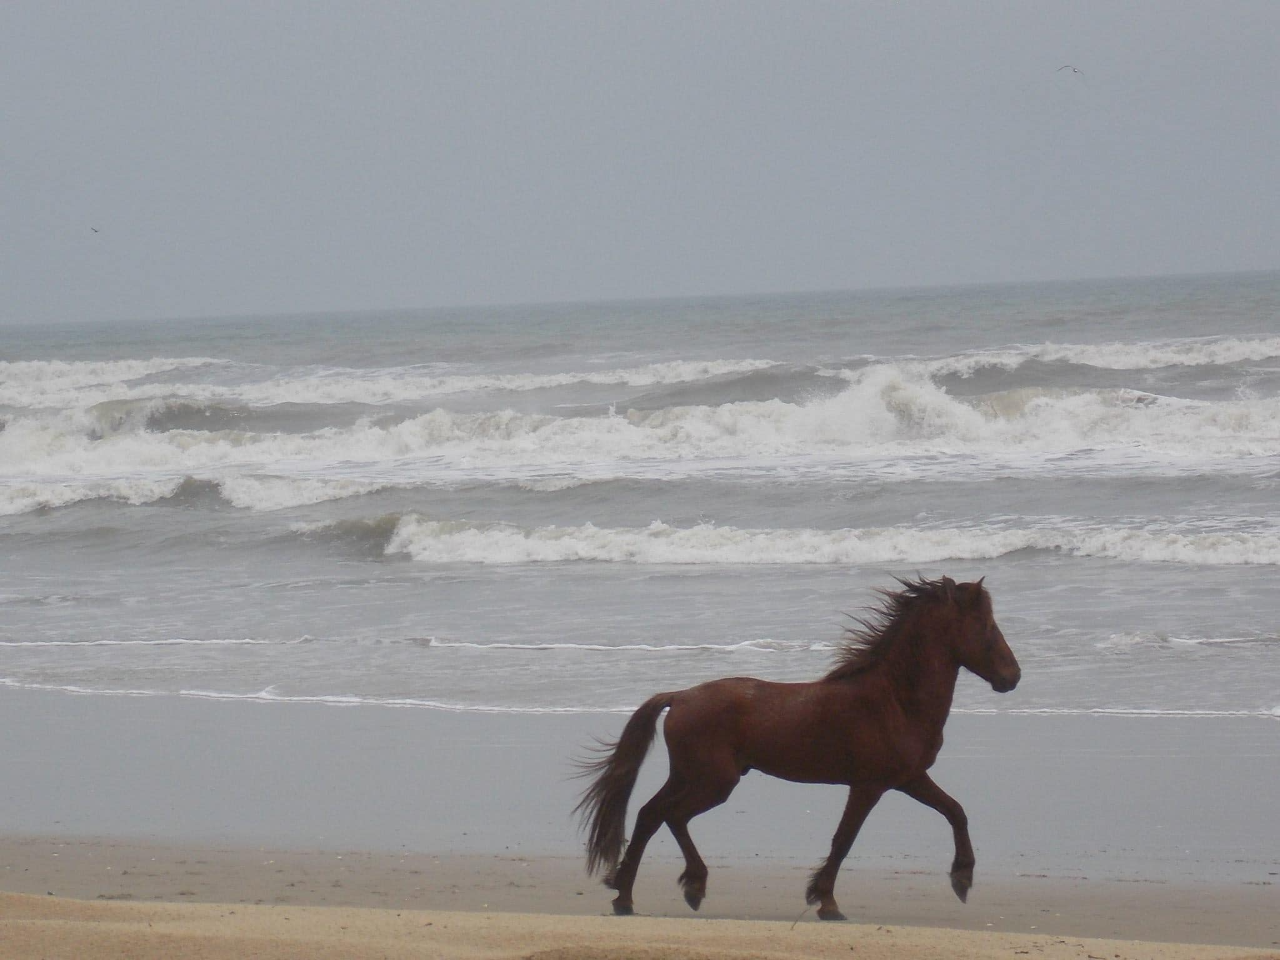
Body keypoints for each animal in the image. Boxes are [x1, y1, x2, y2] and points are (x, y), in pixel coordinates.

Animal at [574, 575, 1020, 921]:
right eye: (984, 625)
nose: (1012, 676)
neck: (894, 699)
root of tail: (680, 697)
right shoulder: (869, 786)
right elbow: (843, 840)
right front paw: (827, 902)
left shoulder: (909, 778)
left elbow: (955, 811)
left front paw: (962, 878)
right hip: (714, 782)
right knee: (670, 815)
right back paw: (686, 887)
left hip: (690, 776)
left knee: (651, 814)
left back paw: (627, 896)